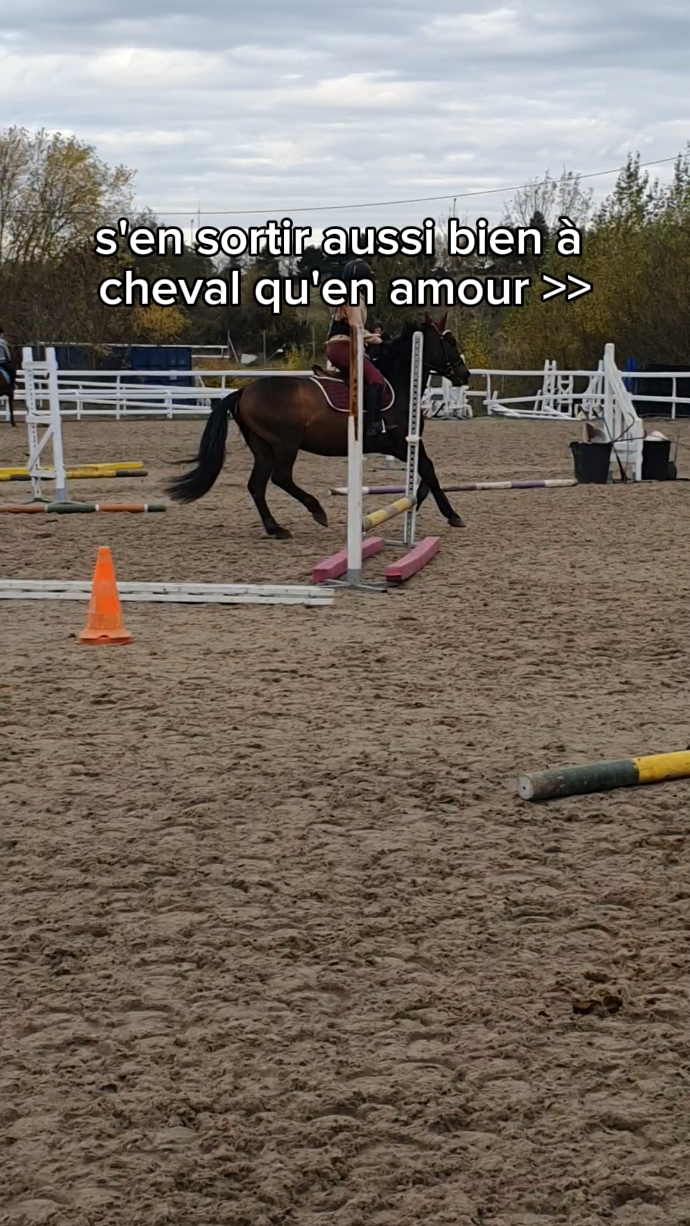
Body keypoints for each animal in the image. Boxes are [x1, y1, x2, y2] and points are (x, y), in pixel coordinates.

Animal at [167, 314, 470, 540]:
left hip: (262, 447)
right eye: (450, 342)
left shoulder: (408, 444)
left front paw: (417, 505)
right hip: (285, 443)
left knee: (257, 485)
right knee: (280, 477)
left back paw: (275, 528)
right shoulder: (397, 443)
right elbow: (428, 470)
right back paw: (317, 511)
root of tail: (244, 391)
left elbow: (427, 472)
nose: (464, 375)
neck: (399, 380)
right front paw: (452, 515)